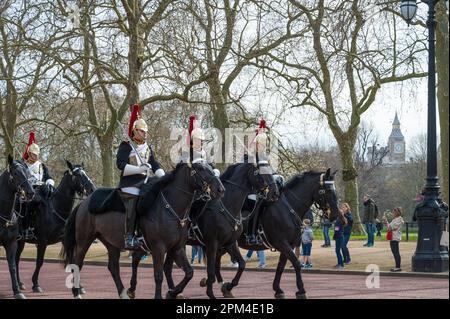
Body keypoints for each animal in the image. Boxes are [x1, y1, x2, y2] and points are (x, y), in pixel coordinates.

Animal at [15, 161, 95, 294]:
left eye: (85, 172)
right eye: (77, 175)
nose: (92, 189)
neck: (56, 209)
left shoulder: (65, 240)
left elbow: (74, 262)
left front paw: (80, 286)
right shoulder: (42, 242)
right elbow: (39, 262)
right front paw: (36, 284)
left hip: (20, 241)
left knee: (15, 259)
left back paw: (20, 284)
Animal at [61, 162, 225, 300]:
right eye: (201, 168)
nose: (220, 190)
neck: (169, 209)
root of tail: (84, 202)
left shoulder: (177, 248)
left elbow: (189, 272)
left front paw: (172, 292)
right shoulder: (159, 248)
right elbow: (158, 275)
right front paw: (161, 296)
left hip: (111, 243)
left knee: (113, 267)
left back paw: (123, 293)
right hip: (84, 240)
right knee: (77, 264)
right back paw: (77, 292)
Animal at [126, 162, 280, 300]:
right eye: (262, 172)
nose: (275, 193)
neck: (227, 205)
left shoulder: (230, 243)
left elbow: (241, 264)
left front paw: (227, 287)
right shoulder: (212, 244)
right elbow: (211, 270)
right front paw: (211, 292)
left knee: (159, 265)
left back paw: (171, 291)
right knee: (149, 262)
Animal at [213, 170, 340, 300]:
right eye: (327, 190)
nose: (335, 214)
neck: (289, 208)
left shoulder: (288, 245)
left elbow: (280, 267)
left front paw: (278, 289)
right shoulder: (282, 243)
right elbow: (296, 263)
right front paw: (301, 290)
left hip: (225, 244)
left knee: (217, 259)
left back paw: (221, 283)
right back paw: (223, 285)